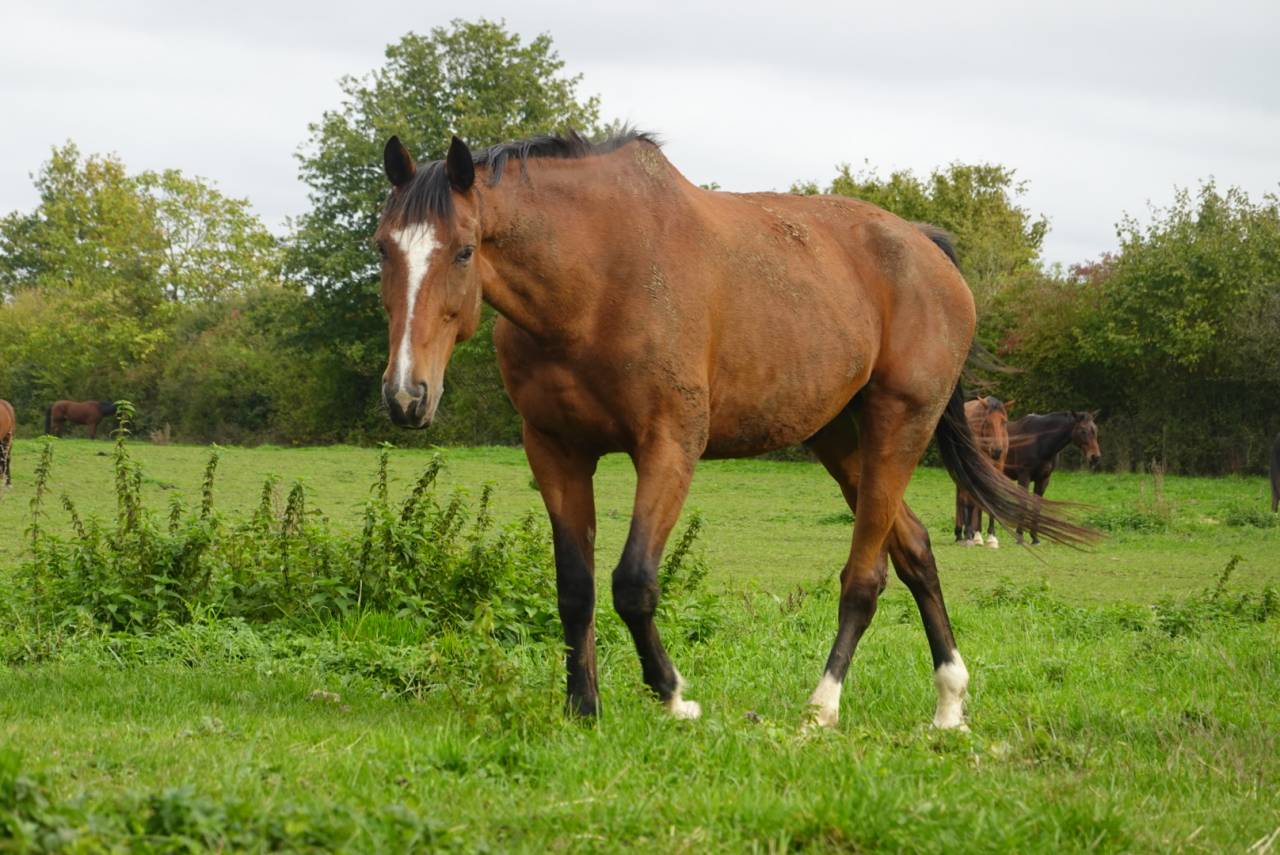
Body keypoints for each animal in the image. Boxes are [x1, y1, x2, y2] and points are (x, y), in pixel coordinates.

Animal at [953, 397, 1013, 548]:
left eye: (1004, 421)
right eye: (988, 422)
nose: (997, 451)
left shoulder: (997, 469)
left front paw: (991, 537)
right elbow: (970, 502)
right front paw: (971, 535)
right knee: (961, 498)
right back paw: (961, 533)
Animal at [996, 410, 1101, 544]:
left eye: (1095, 429)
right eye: (1082, 430)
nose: (1095, 457)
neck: (1040, 442)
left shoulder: (1044, 479)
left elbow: (1038, 505)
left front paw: (1035, 538)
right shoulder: (1024, 475)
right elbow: (1024, 503)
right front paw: (1019, 536)